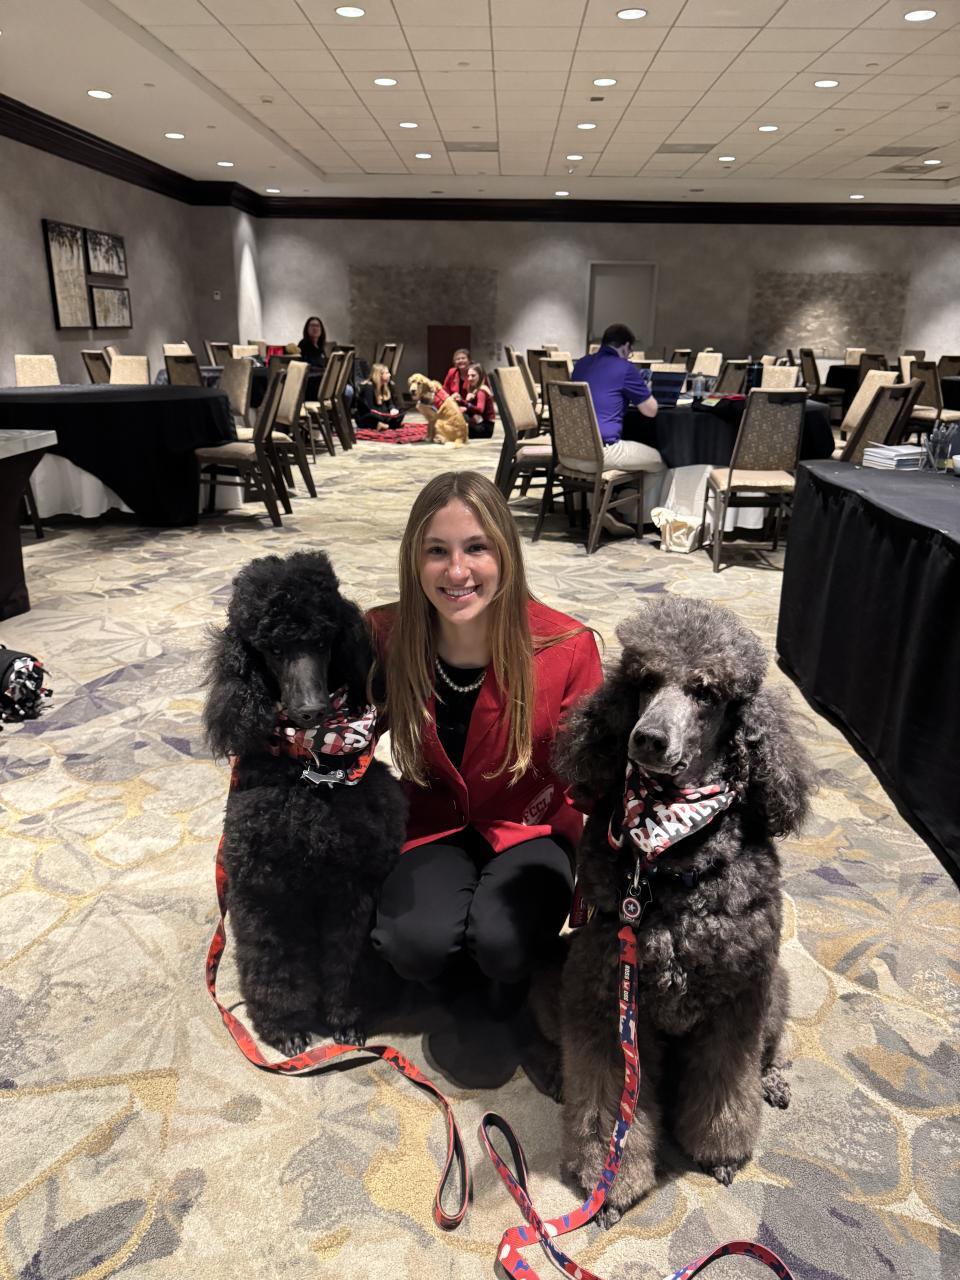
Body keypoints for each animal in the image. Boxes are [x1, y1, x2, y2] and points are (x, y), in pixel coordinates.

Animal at [204, 550, 407, 1055]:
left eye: (322, 640)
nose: (313, 709)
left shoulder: (352, 887)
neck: (310, 770)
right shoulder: (265, 891)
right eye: (272, 649)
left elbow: (345, 960)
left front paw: (346, 1020)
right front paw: (286, 1028)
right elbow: (274, 962)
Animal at [537, 596, 813, 1227]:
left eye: (706, 691)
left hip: (776, 985)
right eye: (643, 681)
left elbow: (726, 1086)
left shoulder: (739, 998)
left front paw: (720, 1153)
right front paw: (612, 1185)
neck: (672, 855)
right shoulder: (607, 993)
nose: (648, 740)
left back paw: (776, 1082)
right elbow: (610, 1104)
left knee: (774, 1045)